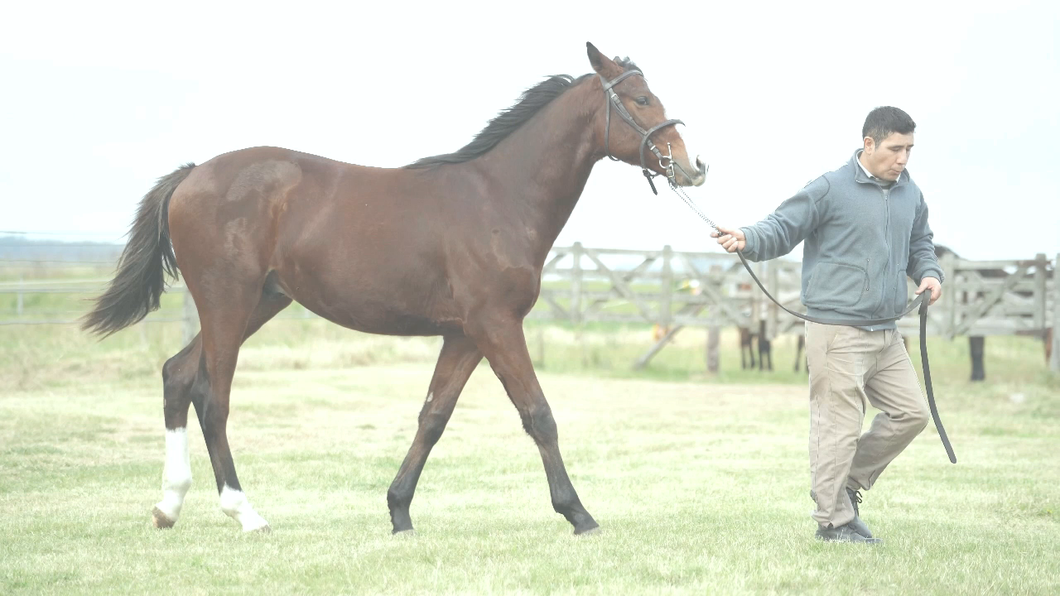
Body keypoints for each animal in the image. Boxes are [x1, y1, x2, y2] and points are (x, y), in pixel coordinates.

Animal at [82, 42, 708, 534]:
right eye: (641, 100)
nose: (694, 166)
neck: (499, 197)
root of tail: (193, 175)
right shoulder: (497, 326)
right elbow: (538, 413)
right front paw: (578, 513)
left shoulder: (465, 335)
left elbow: (433, 417)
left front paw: (399, 511)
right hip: (227, 303)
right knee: (212, 397)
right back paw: (245, 513)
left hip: (257, 302)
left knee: (177, 376)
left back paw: (168, 506)